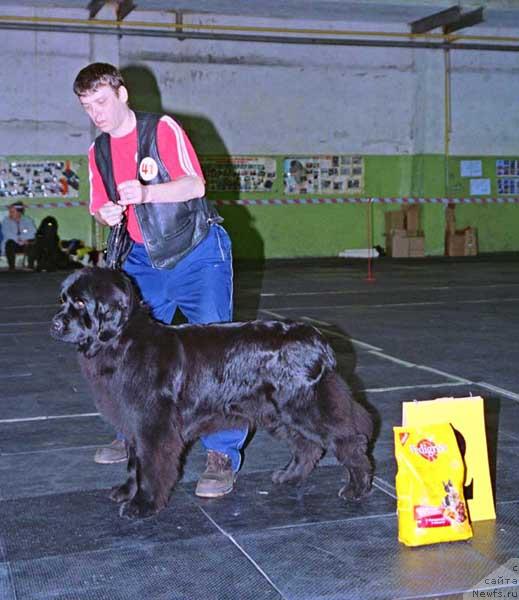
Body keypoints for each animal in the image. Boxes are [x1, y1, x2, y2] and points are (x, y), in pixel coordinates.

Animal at [50, 268, 376, 520]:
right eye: (63, 300)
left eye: (81, 302)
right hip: (277, 412)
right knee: (307, 446)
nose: (55, 324)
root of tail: (318, 338)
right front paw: (126, 492)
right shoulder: (132, 423)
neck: (122, 341)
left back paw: (357, 488)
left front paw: (144, 505)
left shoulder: (152, 425)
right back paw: (290, 476)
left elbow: (150, 465)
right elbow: (133, 463)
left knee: (349, 441)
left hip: (305, 406)